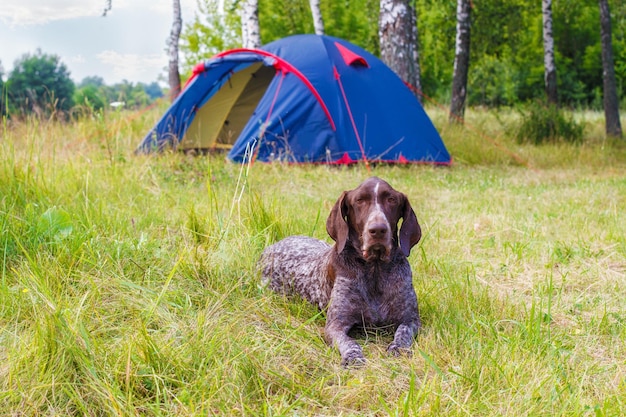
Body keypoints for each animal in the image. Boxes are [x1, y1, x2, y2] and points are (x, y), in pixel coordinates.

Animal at [258, 177, 420, 366]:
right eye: (359, 200)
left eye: (391, 200)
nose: (378, 229)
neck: (375, 269)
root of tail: (270, 248)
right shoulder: (335, 326)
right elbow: (350, 342)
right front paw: (353, 356)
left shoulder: (410, 320)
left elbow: (403, 333)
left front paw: (398, 348)